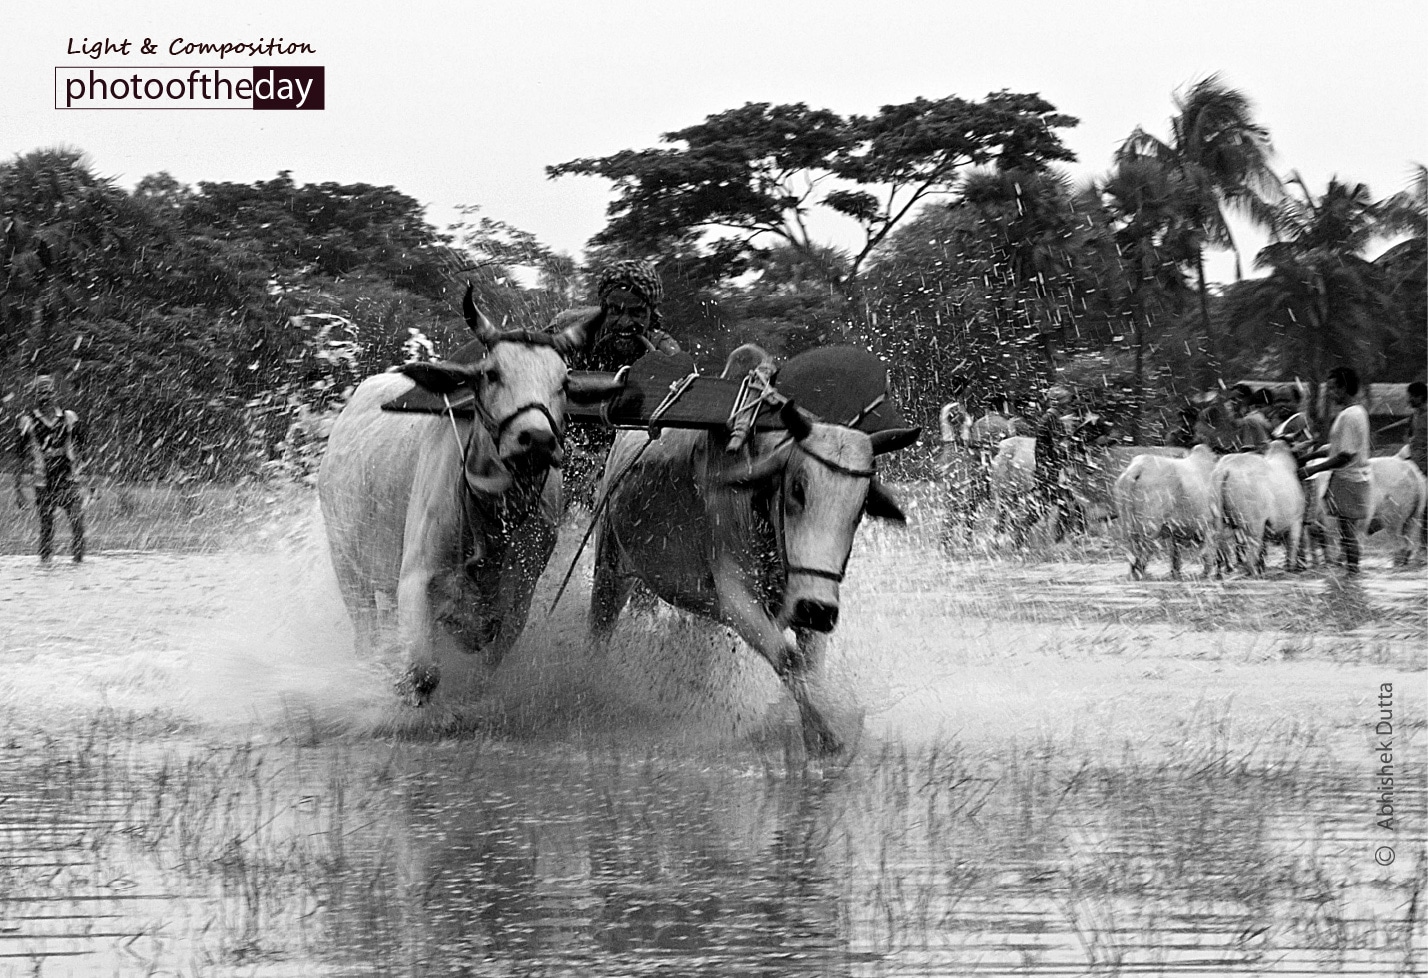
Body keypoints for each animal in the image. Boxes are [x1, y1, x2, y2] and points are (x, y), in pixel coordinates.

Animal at [1108, 445, 1222, 576]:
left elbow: (1176, 554)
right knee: (1143, 552)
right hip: (1151, 524)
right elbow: (1208, 551)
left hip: (1126, 521)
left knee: (1133, 548)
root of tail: (1137, 469)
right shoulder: (1209, 524)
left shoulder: (1179, 530)